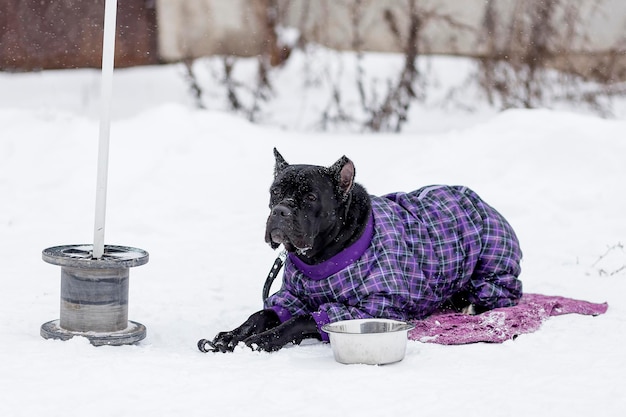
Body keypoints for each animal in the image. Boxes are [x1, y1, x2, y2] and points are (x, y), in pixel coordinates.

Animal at [197, 149, 520, 352]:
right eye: (274, 192)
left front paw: (261, 340)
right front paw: (231, 336)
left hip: (492, 273)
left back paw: (465, 303)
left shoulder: (370, 306)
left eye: (310, 196)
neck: (318, 259)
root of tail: (478, 199)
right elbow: (262, 314)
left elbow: (300, 320)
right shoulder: (291, 296)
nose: (280, 211)